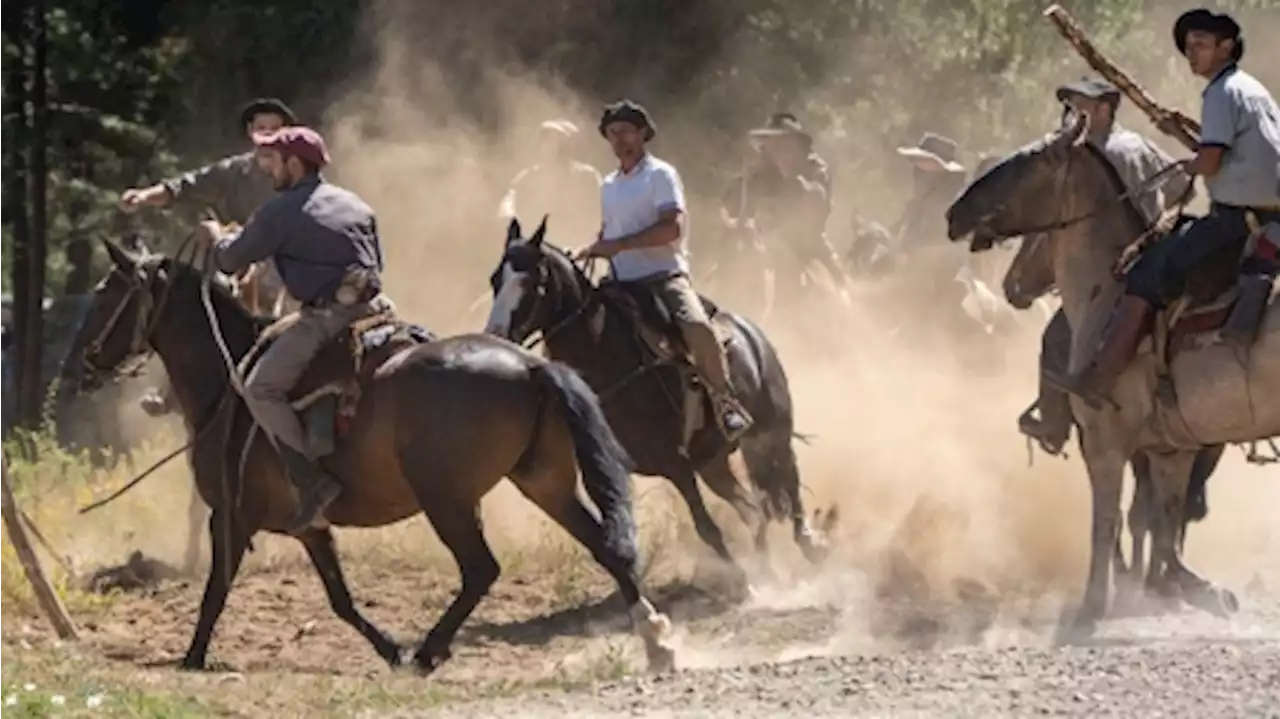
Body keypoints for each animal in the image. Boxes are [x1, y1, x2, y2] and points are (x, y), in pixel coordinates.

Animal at [76, 239, 680, 670]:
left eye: (105, 293)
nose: (85, 362)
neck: (229, 383)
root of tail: (531, 366)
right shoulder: (310, 527)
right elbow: (340, 598)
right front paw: (388, 649)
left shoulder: (229, 517)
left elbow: (215, 589)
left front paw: (193, 657)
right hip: (543, 481)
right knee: (605, 546)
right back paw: (656, 640)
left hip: (448, 500)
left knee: (481, 569)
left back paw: (430, 650)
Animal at [483, 214, 834, 585]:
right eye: (495, 279)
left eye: (532, 282)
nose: (496, 335)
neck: (607, 357)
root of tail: (749, 331)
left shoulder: (677, 465)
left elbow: (706, 528)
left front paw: (745, 583)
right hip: (713, 462)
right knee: (754, 507)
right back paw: (768, 567)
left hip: (773, 431)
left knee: (789, 484)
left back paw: (810, 545)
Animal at [998, 225, 1228, 603]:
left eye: (1037, 239)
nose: (1012, 286)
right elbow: (1136, 513)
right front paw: (1139, 579)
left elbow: (1144, 512)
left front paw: (1149, 580)